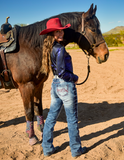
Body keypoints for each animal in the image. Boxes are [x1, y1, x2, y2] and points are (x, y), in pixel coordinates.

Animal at [0, 3, 108, 144]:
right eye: (93, 29)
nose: (106, 54)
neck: (29, 46)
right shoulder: (25, 86)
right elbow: (29, 111)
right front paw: (32, 137)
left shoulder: (38, 85)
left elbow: (38, 108)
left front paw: (42, 129)